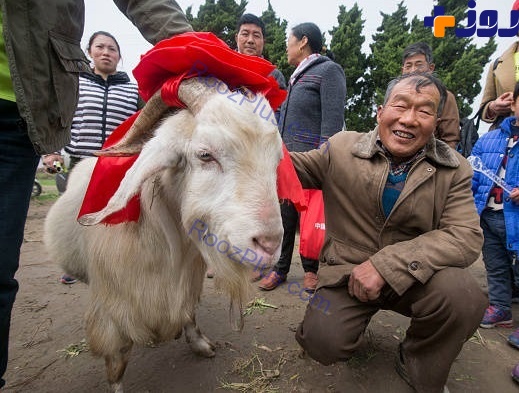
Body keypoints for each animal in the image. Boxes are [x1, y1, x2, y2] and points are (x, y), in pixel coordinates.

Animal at [44, 77, 284, 392]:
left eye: (276, 160)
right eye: (205, 155)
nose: (269, 244)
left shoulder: (188, 282)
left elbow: (189, 311)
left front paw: (200, 343)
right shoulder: (112, 312)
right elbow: (117, 364)